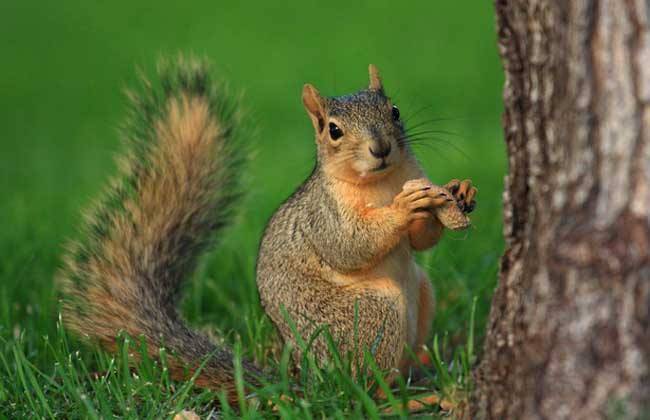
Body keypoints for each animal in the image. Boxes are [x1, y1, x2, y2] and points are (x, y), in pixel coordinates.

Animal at [58, 57, 474, 406]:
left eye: (395, 111)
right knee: (364, 390)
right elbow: (349, 246)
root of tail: (312, 383)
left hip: (422, 293)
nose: (381, 148)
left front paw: (459, 194)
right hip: (370, 317)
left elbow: (421, 241)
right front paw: (404, 208)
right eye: (334, 131)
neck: (383, 182)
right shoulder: (323, 217)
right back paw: (406, 398)